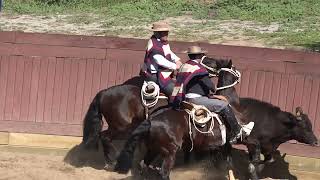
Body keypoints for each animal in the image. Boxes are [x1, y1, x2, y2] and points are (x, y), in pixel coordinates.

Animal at [81, 56, 219, 169]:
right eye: (207, 61)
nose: (219, 64)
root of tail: (103, 93)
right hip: (120, 126)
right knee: (104, 136)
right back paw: (113, 160)